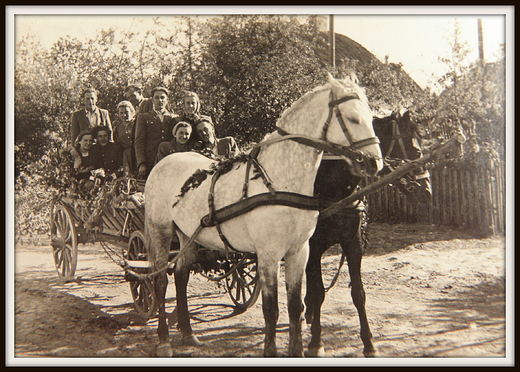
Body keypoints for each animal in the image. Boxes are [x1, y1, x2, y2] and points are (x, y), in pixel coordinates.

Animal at [144, 74, 384, 356]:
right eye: (354, 118)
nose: (374, 163)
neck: (279, 179)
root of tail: (164, 162)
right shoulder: (269, 254)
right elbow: (272, 309)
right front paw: (273, 351)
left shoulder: (300, 251)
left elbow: (296, 305)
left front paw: (298, 350)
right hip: (161, 231)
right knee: (160, 281)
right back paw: (164, 340)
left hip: (188, 235)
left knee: (181, 276)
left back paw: (187, 333)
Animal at [304, 111, 430, 358]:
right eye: (417, 152)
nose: (428, 192)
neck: (332, 188)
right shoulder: (313, 248)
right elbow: (319, 292)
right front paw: (316, 342)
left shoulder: (353, 244)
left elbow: (358, 294)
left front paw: (369, 343)